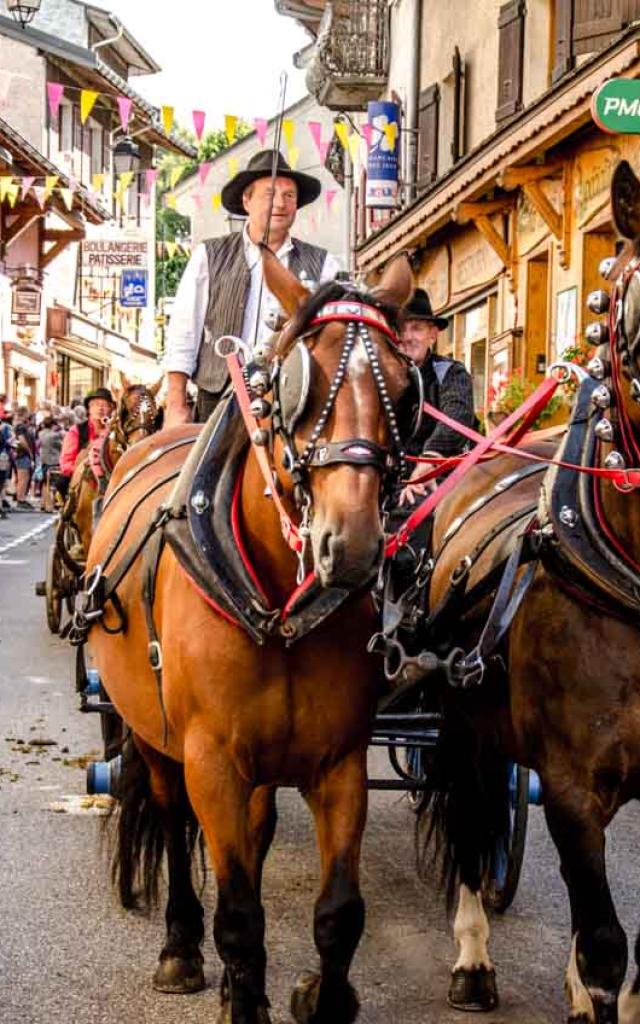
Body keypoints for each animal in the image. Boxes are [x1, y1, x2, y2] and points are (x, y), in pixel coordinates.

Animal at [83, 251, 413, 1024]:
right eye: (294, 385)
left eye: (405, 387)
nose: (350, 545)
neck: (273, 603)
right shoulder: (210, 760)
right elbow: (237, 914)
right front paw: (231, 980)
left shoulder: (338, 763)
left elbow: (339, 913)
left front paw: (319, 996)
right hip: (156, 737)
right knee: (171, 821)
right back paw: (181, 947)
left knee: (256, 833)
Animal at [413, 159, 640, 1024]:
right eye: (626, 304)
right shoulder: (573, 786)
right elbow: (606, 944)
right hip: (466, 724)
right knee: (472, 820)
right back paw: (473, 958)